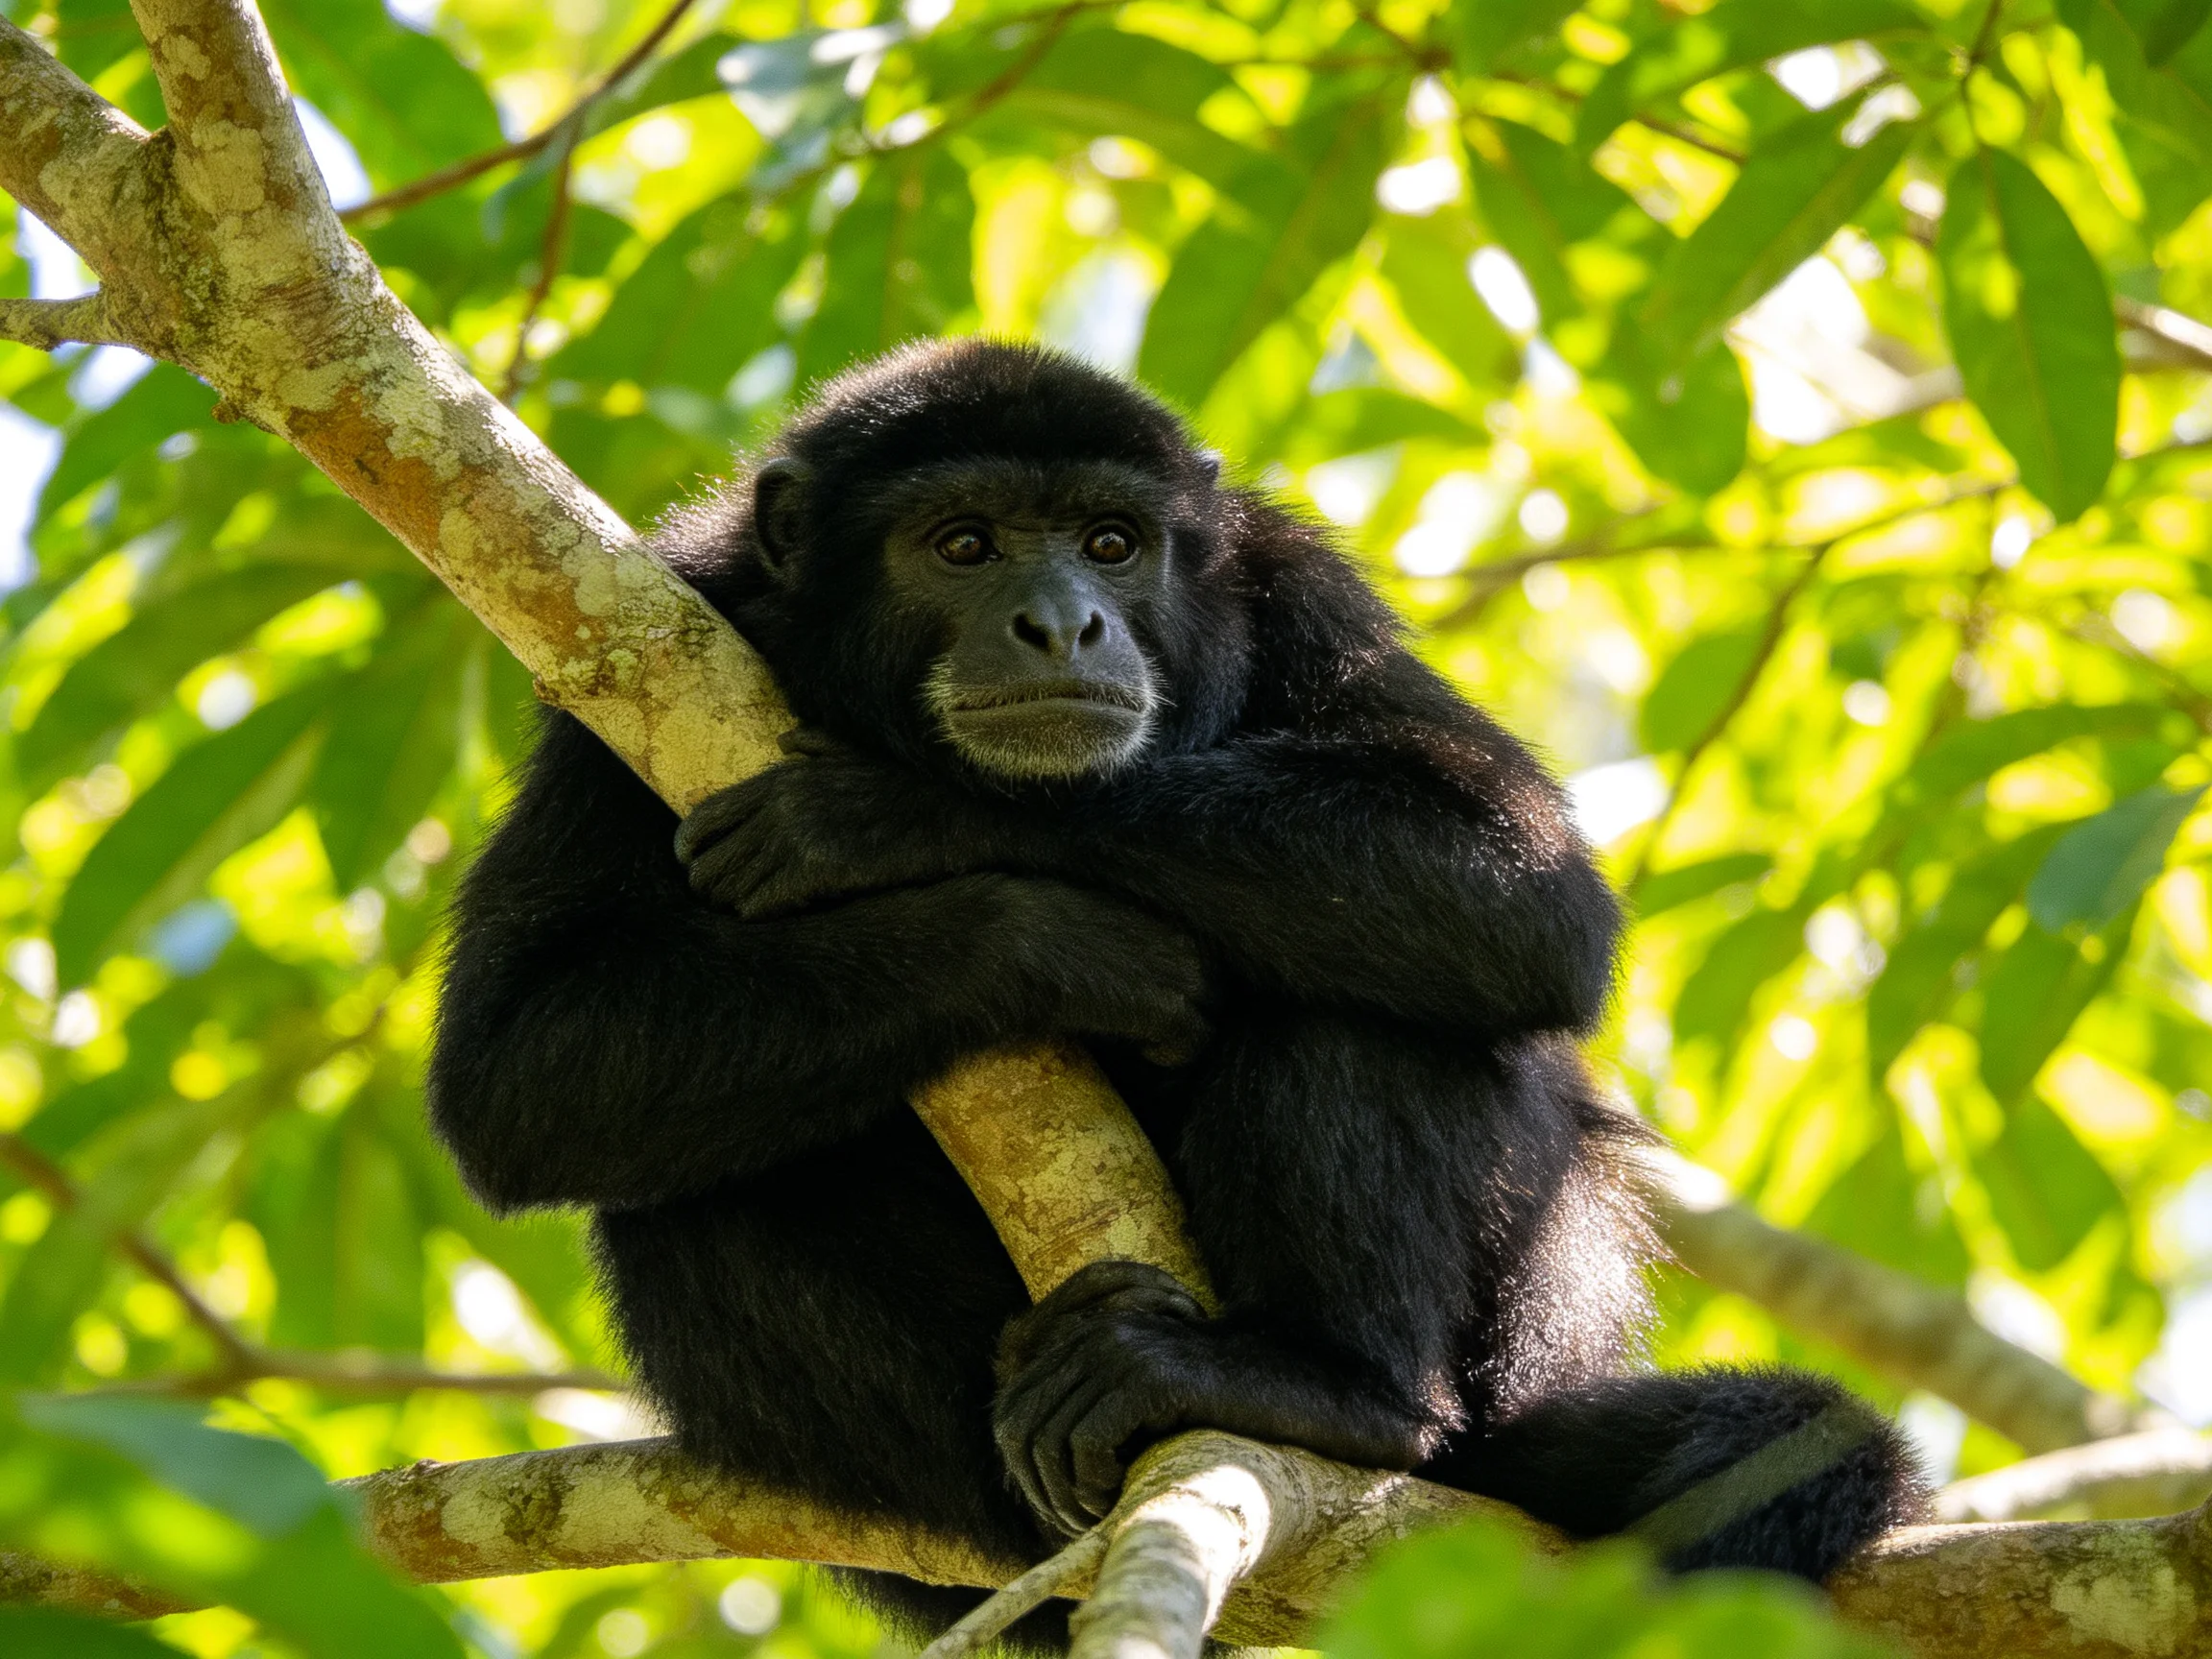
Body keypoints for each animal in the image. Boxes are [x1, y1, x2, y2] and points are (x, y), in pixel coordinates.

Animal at [427, 338, 1923, 1646]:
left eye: (1111, 542)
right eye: (961, 545)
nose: (1062, 624)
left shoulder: (1288, 582)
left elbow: (1523, 892)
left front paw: (895, 814)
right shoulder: (650, 637)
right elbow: (515, 1076)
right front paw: (1063, 945)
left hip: (1525, 1325)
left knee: (1374, 1004)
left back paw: (1336, 1392)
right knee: (691, 1199)